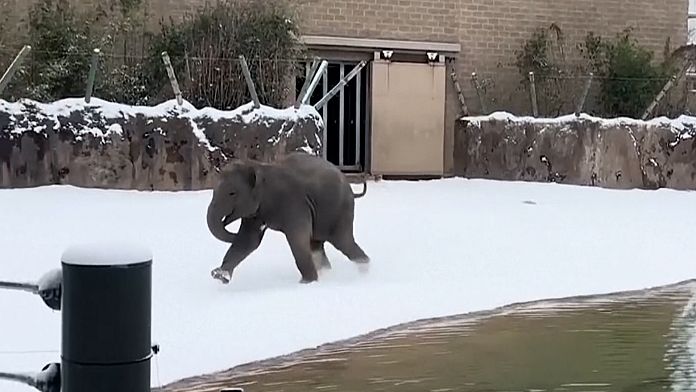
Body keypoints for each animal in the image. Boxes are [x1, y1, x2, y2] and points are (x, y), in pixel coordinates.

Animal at [207, 152, 370, 284]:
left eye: (232, 193)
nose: (226, 222)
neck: (259, 167)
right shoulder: (256, 212)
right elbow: (248, 241)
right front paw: (220, 276)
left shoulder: (294, 202)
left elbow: (297, 237)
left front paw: (306, 283)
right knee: (317, 245)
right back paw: (328, 273)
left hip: (340, 210)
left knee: (343, 242)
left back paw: (364, 270)